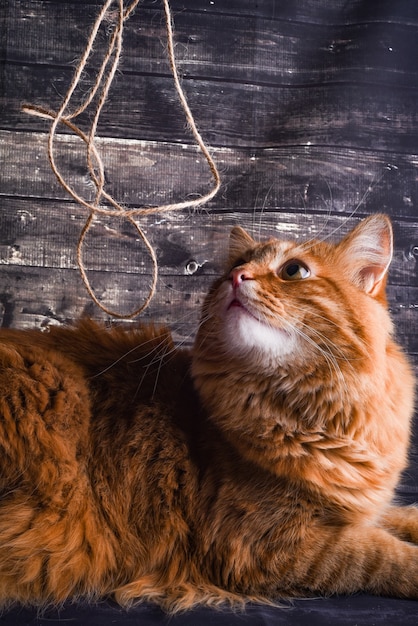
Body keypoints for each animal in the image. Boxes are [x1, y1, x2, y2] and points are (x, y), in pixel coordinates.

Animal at [0, 214, 416, 608]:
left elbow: (394, 515)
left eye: (293, 271)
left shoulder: (354, 509)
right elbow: (377, 552)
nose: (236, 276)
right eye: (236, 265)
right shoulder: (261, 544)